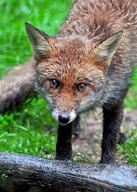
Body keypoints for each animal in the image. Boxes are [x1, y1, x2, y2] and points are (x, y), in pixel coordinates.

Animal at [0, 0, 137, 164]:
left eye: (81, 86)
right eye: (54, 83)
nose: (63, 118)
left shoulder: (117, 95)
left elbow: (110, 135)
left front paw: (107, 163)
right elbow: (64, 135)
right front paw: (62, 158)